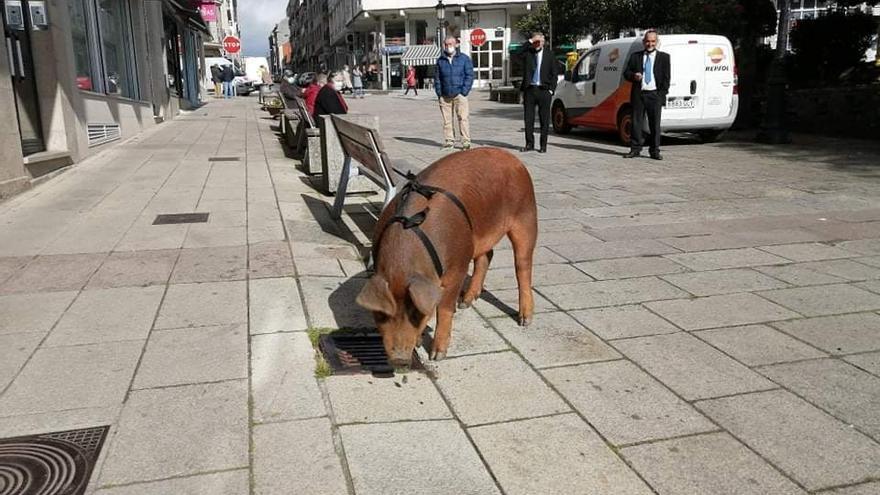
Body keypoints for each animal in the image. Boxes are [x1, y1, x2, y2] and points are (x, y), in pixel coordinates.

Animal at [356, 147, 536, 368]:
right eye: (382, 314)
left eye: (414, 314)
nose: (399, 360)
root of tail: (511, 156)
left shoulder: (458, 266)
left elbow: (444, 308)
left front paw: (437, 355)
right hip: (479, 234)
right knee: (487, 256)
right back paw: (466, 302)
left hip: (526, 216)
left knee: (523, 266)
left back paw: (524, 320)